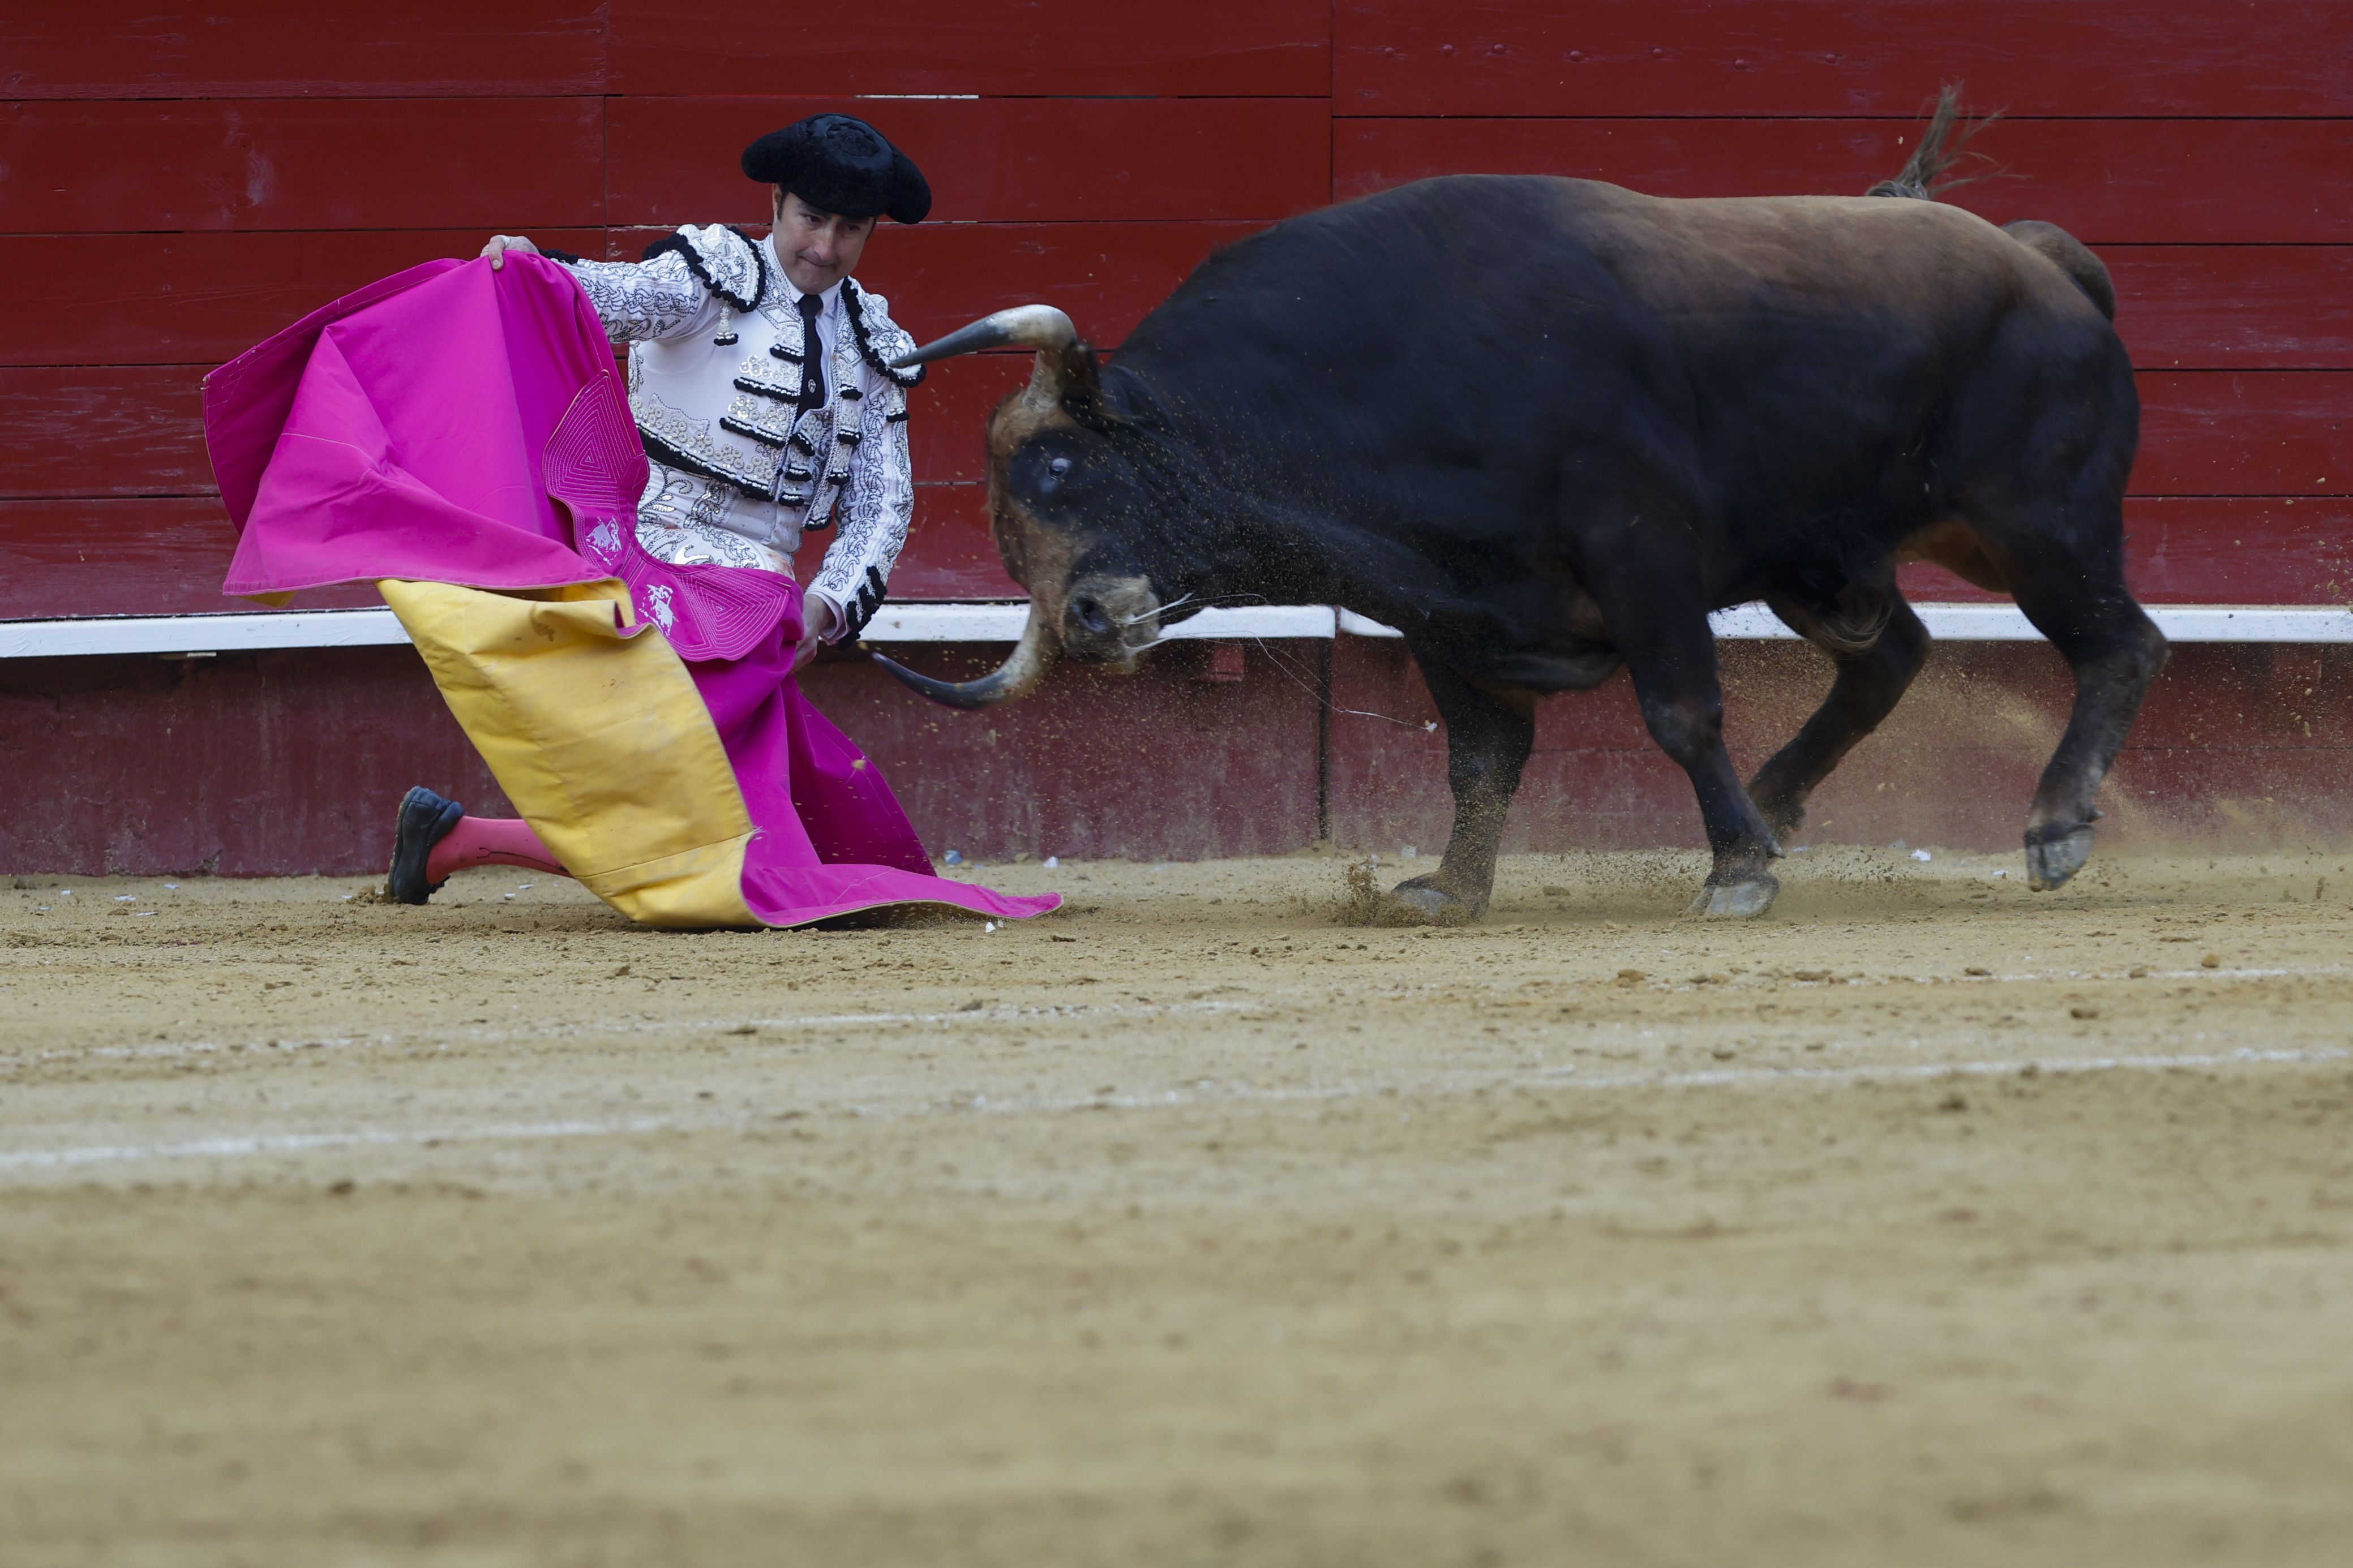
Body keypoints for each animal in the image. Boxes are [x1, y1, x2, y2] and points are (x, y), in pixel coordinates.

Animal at [875, 98, 2155, 926]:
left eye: (1057, 467)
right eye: (1004, 538)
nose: (1087, 619)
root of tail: (2042, 266)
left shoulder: (1640, 555)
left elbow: (1677, 710)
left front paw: (1734, 871)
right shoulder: (1446, 614)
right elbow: (1481, 758)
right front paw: (1451, 887)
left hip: (2034, 523)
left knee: (2119, 641)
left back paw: (2052, 825)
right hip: (1827, 563)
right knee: (1893, 654)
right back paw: (1785, 800)